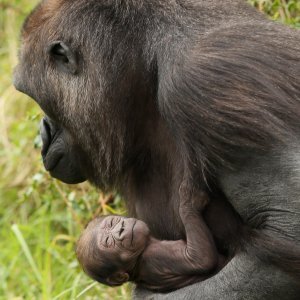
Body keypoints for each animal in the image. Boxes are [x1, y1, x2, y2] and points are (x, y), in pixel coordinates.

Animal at [75, 189, 225, 292]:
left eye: (112, 223)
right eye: (109, 242)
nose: (120, 229)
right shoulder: (155, 255)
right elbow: (201, 259)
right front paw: (187, 204)